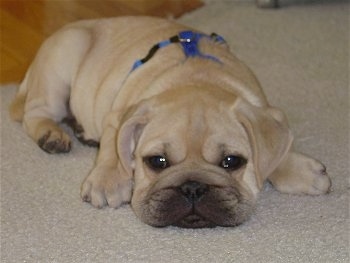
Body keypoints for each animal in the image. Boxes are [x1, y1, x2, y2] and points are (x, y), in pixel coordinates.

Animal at [8, 16, 330, 228]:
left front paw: (299, 170)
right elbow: (113, 149)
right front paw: (108, 178)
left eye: (231, 162)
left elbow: (277, 149)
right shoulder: (118, 116)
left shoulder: (266, 110)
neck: (196, 78)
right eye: (157, 162)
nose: (193, 188)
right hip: (61, 66)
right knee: (34, 113)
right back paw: (52, 135)